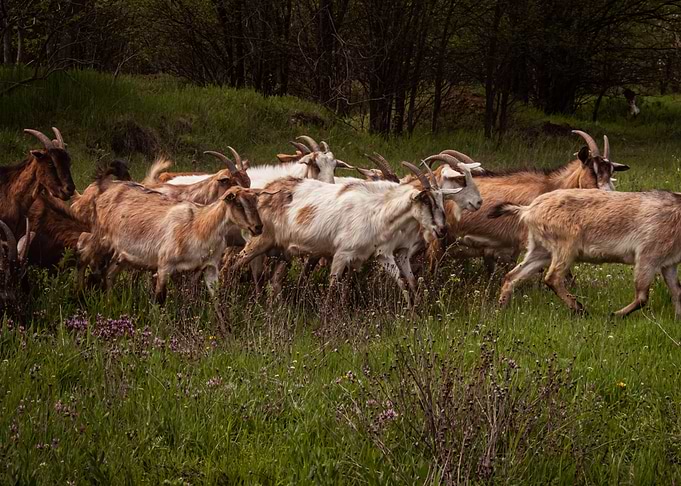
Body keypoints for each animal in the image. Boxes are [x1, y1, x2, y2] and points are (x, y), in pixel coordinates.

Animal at [492, 189, 681, 319]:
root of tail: (528, 210)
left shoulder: (668, 263)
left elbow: (677, 291)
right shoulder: (648, 255)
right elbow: (642, 297)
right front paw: (614, 315)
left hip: (540, 250)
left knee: (512, 276)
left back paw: (501, 309)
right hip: (565, 246)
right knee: (552, 278)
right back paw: (581, 309)